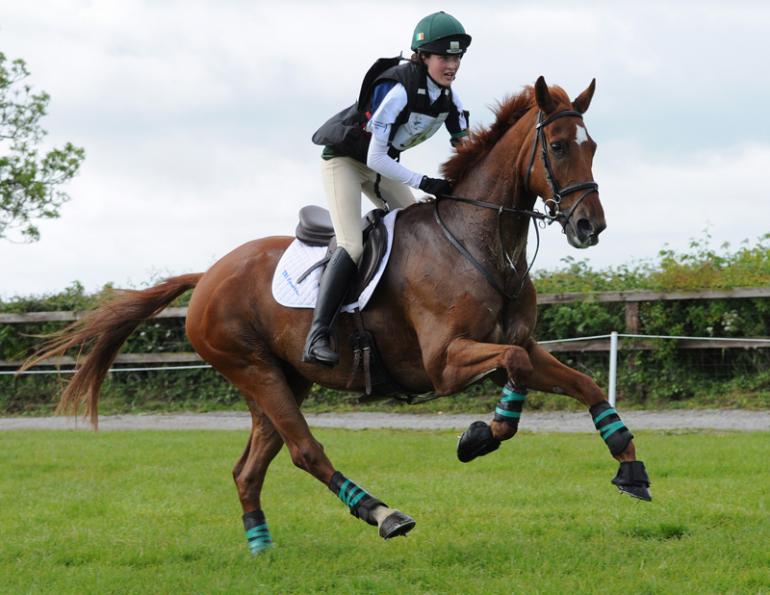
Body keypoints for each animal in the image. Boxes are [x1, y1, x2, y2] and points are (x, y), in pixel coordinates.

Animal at [25, 77, 648, 556]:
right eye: (560, 147)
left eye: (594, 147)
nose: (590, 226)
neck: (481, 242)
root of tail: (206, 277)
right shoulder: (444, 363)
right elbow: (514, 365)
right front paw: (480, 435)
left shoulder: (521, 345)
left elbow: (582, 382)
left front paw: (630, 469)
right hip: (254, 369)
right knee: (306, 452)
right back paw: (383, 514)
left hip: (283, 379)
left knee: (250, 468)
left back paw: (262, 547)